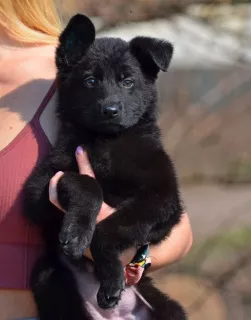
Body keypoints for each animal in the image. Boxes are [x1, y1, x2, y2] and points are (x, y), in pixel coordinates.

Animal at [24, 13, 186, 318]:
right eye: (90, 81)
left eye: (127, 82)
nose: (110, 110)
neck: (108, 141)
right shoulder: (39, 188)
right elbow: (86, 182)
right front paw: (77, 233)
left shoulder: (162, 198)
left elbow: (110, 229)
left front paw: (110, 275)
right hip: (49, 279)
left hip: (170, 308)